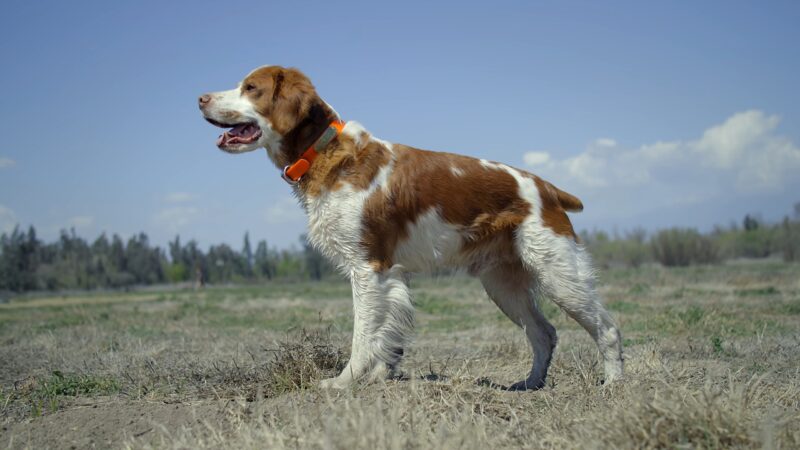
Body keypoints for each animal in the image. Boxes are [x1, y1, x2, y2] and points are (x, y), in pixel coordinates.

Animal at [200, 65, 624, 388]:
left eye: (250, 88)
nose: (200, 98)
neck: (327, 153)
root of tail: (547, 187)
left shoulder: (368, 268)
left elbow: (364, 337)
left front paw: (343, 382)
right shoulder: (390, 274)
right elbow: (387, 335)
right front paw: (377, 378)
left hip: (559, 274)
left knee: (607, 328)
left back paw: (613, 384)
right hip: (503, 284)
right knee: (543, 332)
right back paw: (530, 384)